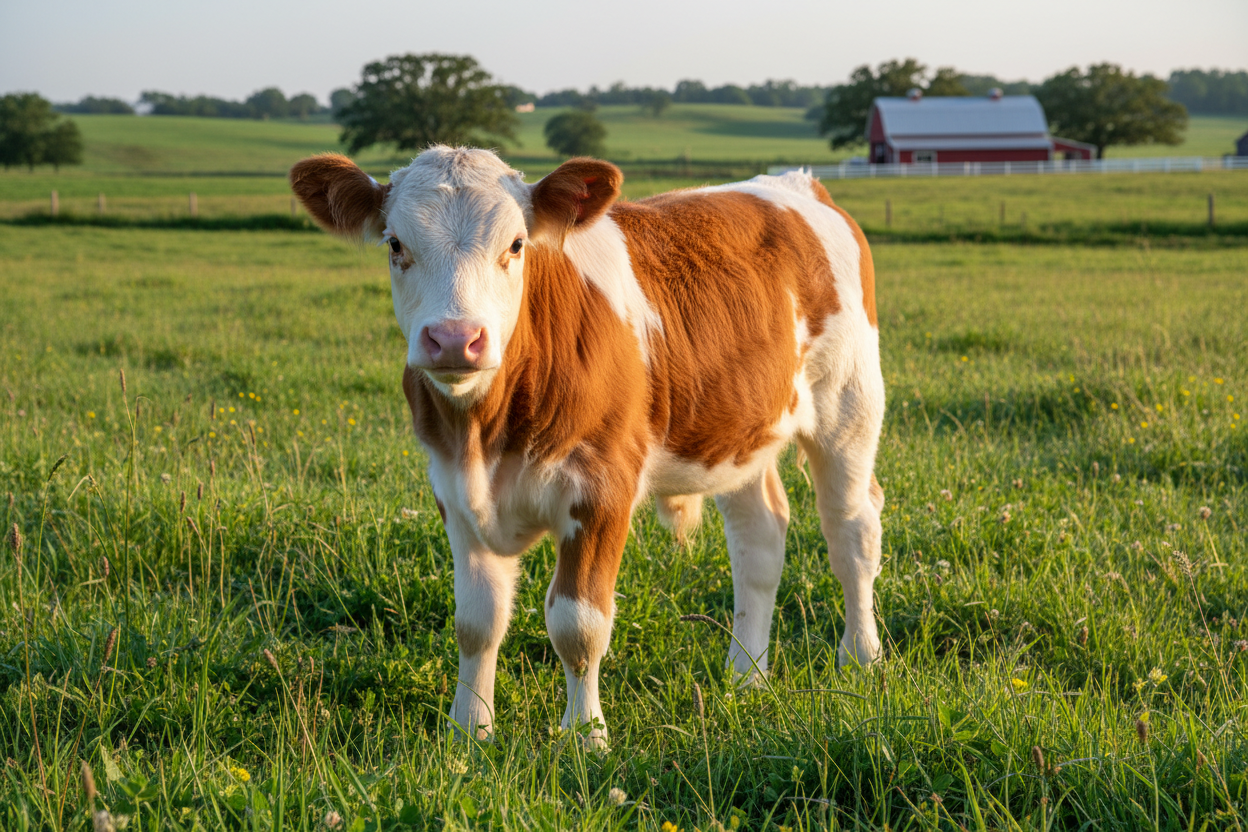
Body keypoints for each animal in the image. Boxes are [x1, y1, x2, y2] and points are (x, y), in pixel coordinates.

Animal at [289, 147, 886, 746]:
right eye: (395, 244)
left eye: (516, 244)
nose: (456, 338)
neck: (489, 434)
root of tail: (796, 183)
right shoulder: (454, 492)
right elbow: (476, 623)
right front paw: (469, 733)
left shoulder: (602, 489)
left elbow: (578, 624)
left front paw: (585, 736)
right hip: (738, 435)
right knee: (758, 540)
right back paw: (745, 676)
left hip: (849, 405)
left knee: (851, 531)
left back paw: (860, 657)